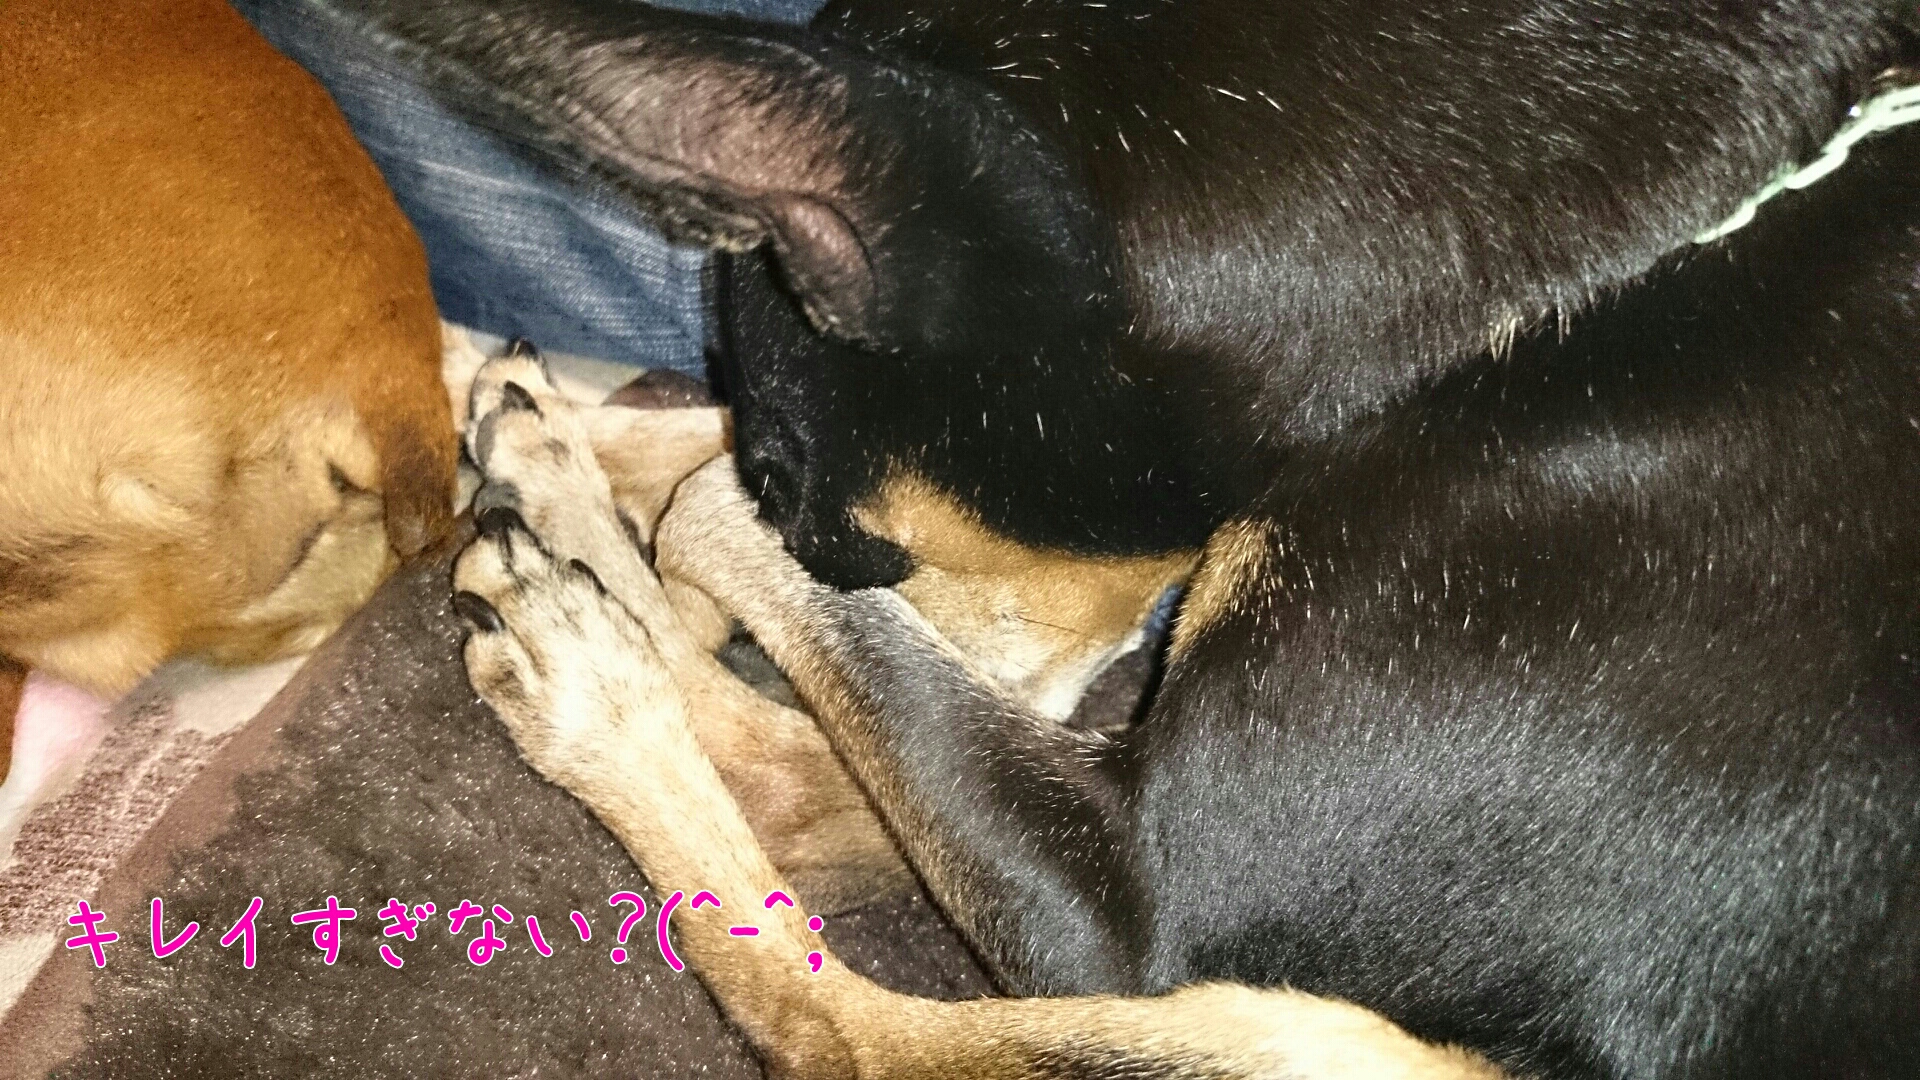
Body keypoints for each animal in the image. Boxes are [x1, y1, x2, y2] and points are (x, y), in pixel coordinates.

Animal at [358, 0, 1916, 1074]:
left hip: (1301, 1035)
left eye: (810, 491)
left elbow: (735, 531)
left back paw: (592, 676)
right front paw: (524, 421)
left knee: (854, 1015)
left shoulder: (1128, 907)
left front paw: (637, 538)